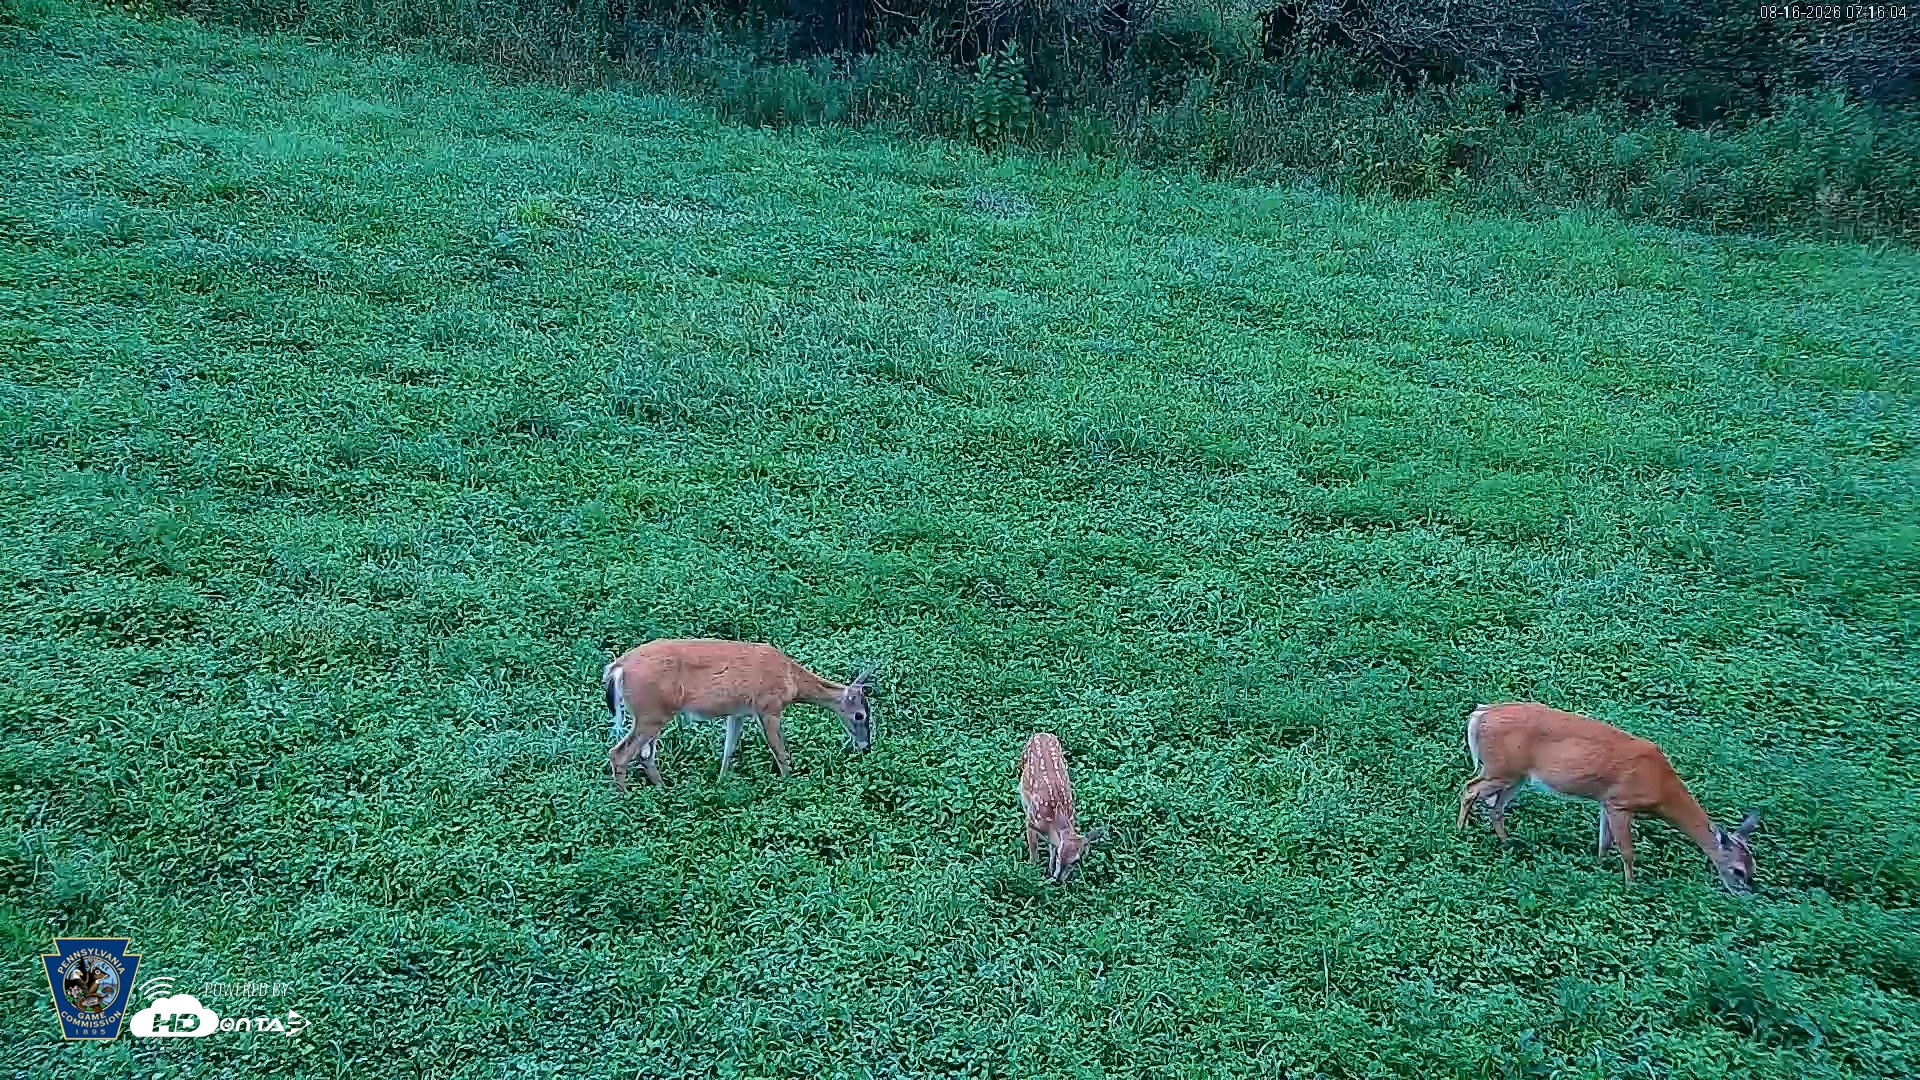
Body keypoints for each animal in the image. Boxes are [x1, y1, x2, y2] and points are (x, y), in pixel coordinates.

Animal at [603, 639, 871, 790]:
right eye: (860, 715)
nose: (867, 747)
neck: (791, 679)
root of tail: (618, 667)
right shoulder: (768, 706)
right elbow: (780, 751)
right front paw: (790, 783)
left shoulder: (738, 712)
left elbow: (729, 749)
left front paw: (721, 783)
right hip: (651, 713)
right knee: (620, 753)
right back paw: (626, 799)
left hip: (654, 714)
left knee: (645, 755)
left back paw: (663, 790)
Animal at [1018, 733, 1107, 883]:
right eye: (1060, 854)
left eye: (1076, 861)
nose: (1058, 879)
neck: (1050, 823)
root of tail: (1041, 733)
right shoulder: (1031, 821)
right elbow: (1034, 848)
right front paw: (1033, 869)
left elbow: (1051, 848)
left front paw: (1050, 871)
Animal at [1456, 702, 1759, 891]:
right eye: (1738, 870)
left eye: (1753, 867)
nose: (1743, 893)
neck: (1661, 787)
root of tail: (1479, 715)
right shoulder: (1621, 803)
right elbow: (1626, 850)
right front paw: (1630, 886)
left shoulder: (1605, 802)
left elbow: (1604, 841)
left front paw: (1599, 866)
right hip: (1501, 769)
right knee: (1470, 788)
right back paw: (1460, 832)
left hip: (1516, 776)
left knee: (1495, 806)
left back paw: (1508, 843)